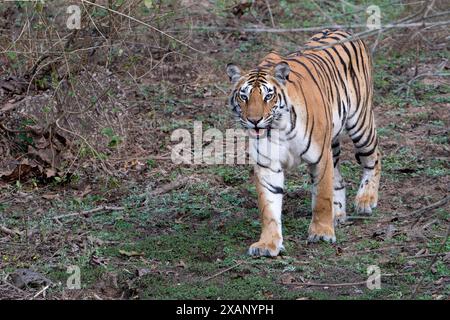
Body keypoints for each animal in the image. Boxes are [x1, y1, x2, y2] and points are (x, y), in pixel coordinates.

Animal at [227, 29, 382, 258]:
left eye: (268, 96)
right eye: (244, 96)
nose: (254, 120)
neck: (278, 128)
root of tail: (344, 30)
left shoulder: (320, 158)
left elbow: (322, 198)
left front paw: (321, 233)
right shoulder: (268, 165)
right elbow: (268, 208)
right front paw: (268, 243)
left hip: (360, 123)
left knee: (374, 157)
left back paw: (366, 200)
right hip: (333, 141)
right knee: (339, 178)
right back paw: (338, 214)